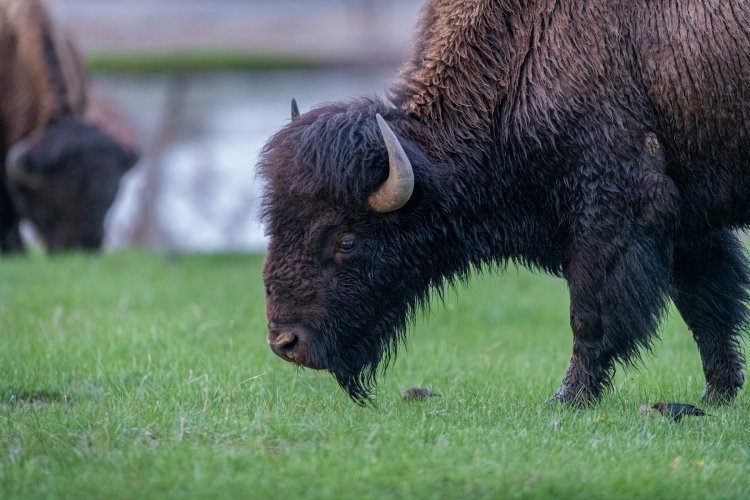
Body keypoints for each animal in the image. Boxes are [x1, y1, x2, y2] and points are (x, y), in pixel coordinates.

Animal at [260, 0, 750, 406]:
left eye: (346, 240)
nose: (286, 343)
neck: (520, 55)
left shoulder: (612, 214)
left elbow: (591, 316)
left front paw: (566, 399)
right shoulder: (687, 223)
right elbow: (706, 305)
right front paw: (718, 394)